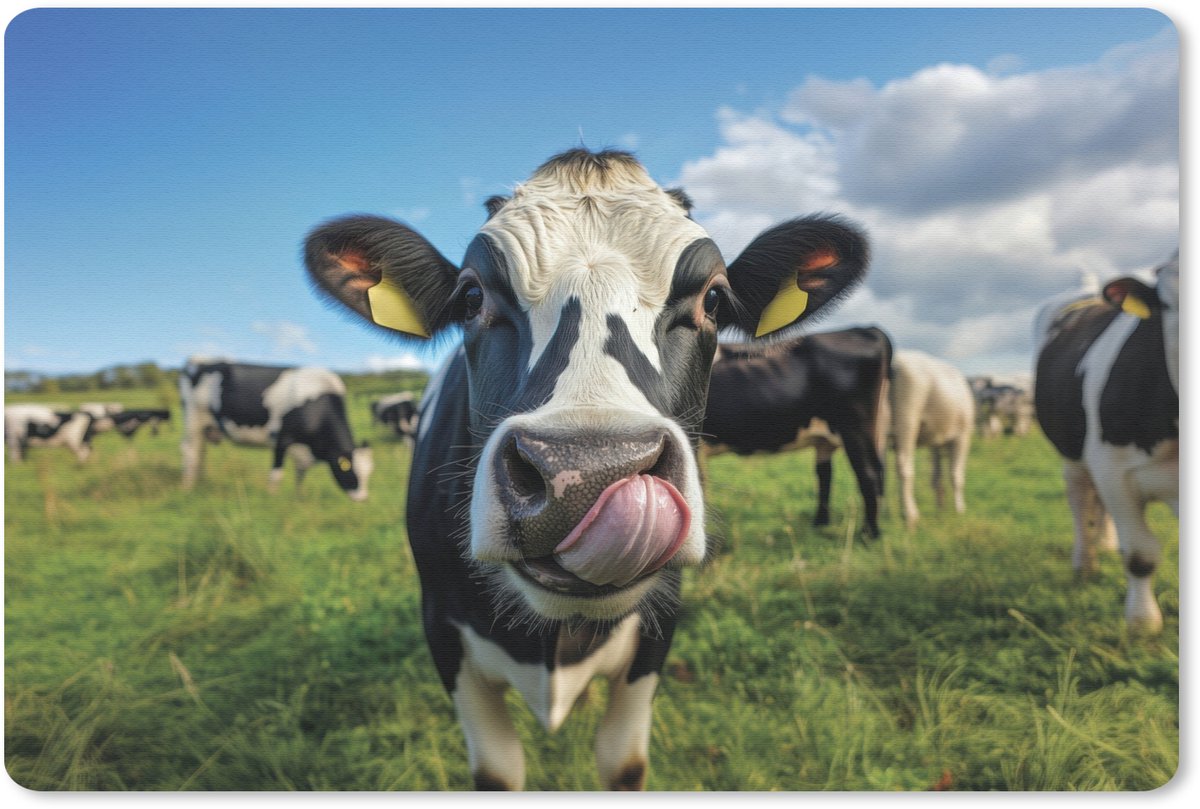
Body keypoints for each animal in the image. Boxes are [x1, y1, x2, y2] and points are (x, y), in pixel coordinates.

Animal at [179, 359, 374, 501]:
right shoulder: (282, 439)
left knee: (200, 453)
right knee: (190, 451)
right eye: (349, 470)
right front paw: (272, 498)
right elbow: (277, 475)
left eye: (369, 473)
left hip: (205, 427)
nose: (363, 498)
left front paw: (298, 498)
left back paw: (199, 482)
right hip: (193, 420)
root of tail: (200, 363)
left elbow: (300, 475)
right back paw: (187, 487)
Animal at [302, 148, 869, 790]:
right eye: (471, 297)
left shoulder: (657, 631)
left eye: (714, 300)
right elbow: (497, 770)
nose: (587, 473)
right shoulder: (443, 633)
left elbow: (623, 762)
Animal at [701, 327, 893, 539]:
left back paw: (869, 534)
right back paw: (820, 524)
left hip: (856, 427)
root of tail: (867, 329)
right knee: (826, 474)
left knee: (868, 473)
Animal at [889, 349, 975, 530]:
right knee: (904, 466)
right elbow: (956, 476)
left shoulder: (936, 443)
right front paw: (959, 511)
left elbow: (936, 477)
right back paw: (910, 516)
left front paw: (941, 508)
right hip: (906, 419)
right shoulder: (962, 436)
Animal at [1033, 253, 1179, 635]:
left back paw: (1107, 542)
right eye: (1169, 304)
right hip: (1073, 453)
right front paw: (1142, 623)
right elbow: (1141, 554)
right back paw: (1085, 561)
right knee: (1080, 500)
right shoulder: (1115, 472)